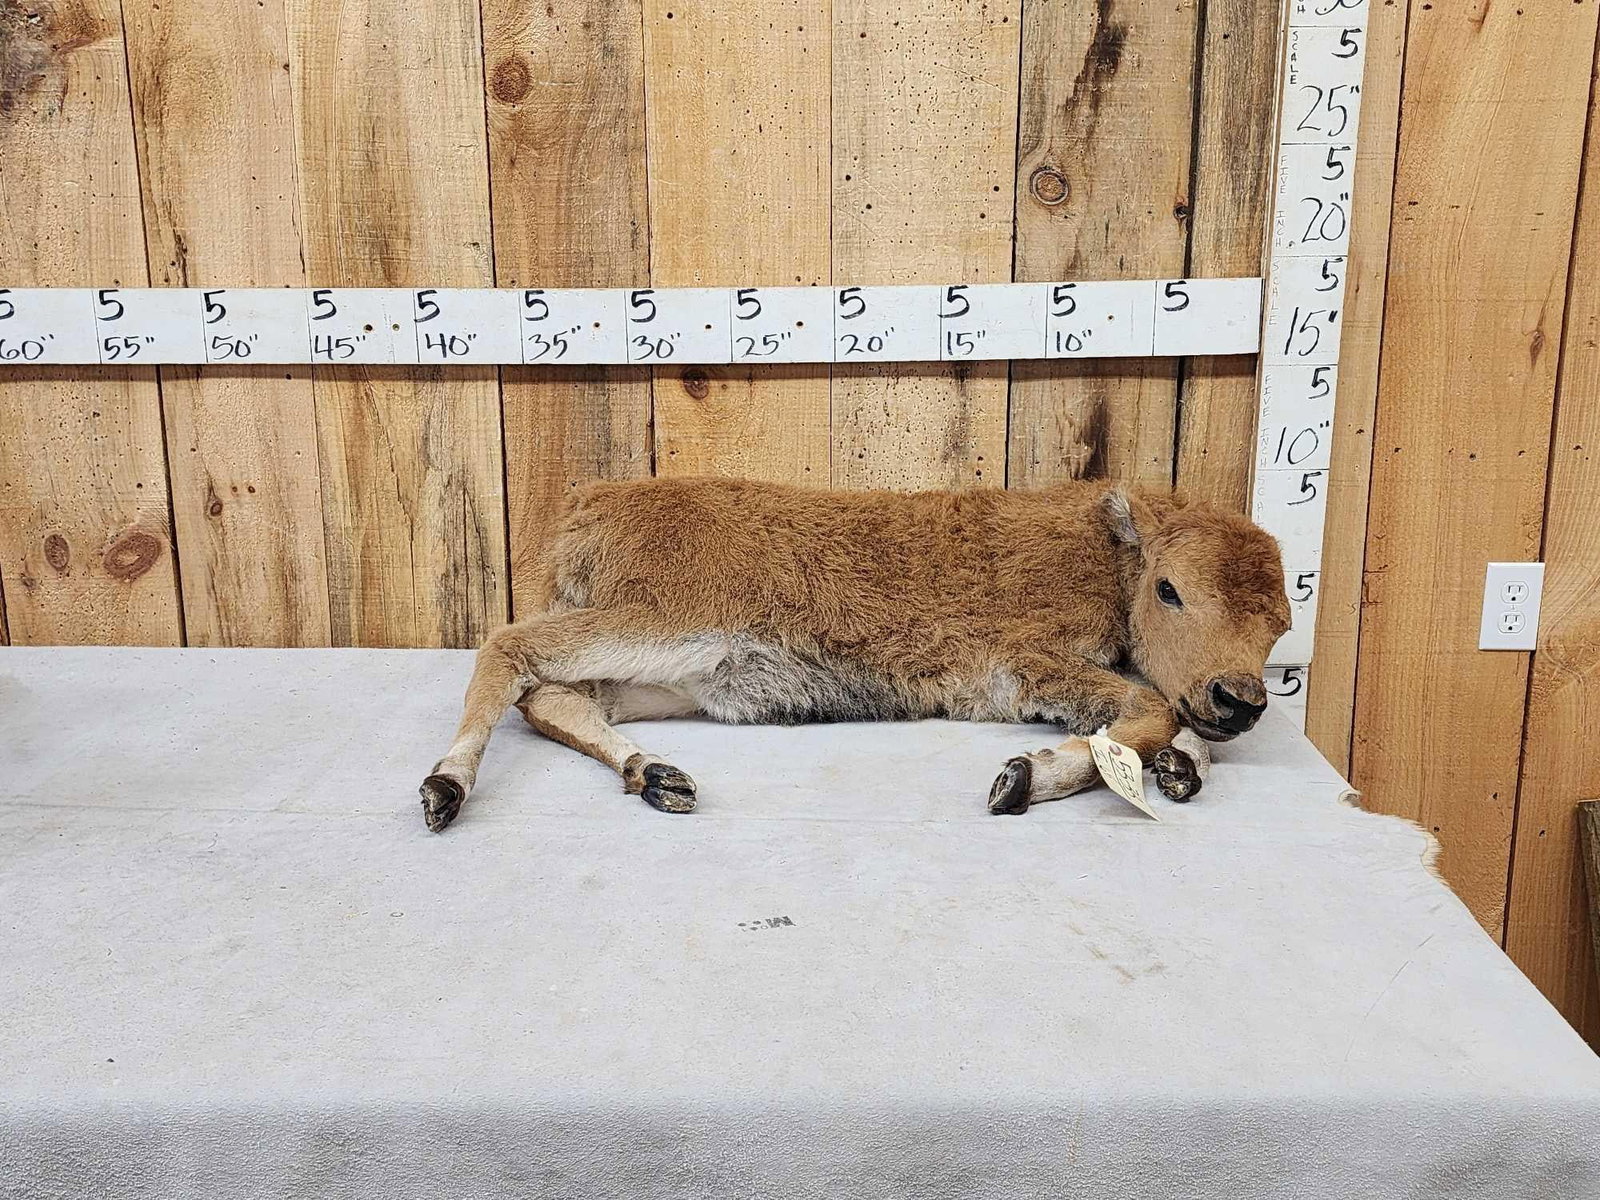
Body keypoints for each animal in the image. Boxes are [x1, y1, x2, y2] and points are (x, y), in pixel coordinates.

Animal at [419, 477, 1291, 831]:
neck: (1106, 554)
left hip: (669, 674)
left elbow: (1167, 718)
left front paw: (1183, 768)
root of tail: (590, 504)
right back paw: (445, 786)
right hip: (660, 623)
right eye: (1171, 589)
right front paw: (1021, 778)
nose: (1239, 699)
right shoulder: (1029, 666)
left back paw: (656, 774)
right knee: (509, 646)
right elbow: (1144, 708)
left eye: (1280, 622)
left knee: (555, 696)